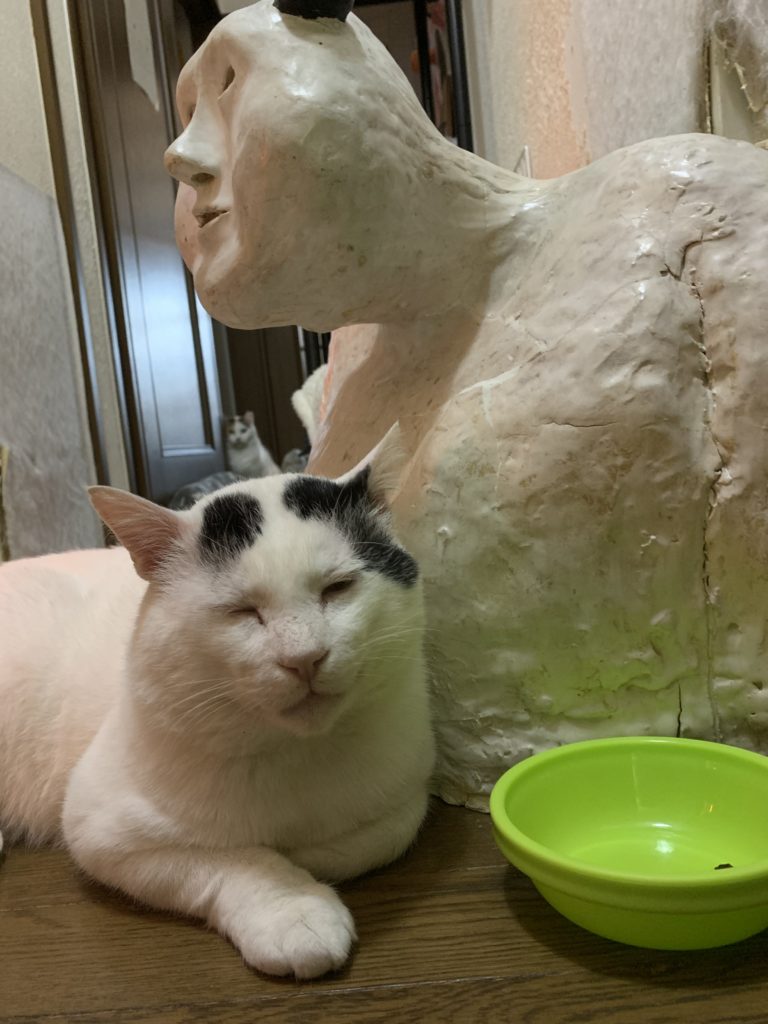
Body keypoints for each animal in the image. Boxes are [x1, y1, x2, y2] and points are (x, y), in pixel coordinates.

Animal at [0, 426, 434, 979]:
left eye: (338, 588)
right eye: (241, 611)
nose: (304, 658)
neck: (296, 753)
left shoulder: (408, 794)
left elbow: (373, 838)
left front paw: (306, 857)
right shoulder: (100, 824)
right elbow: (236, 858)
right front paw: (292, 905)